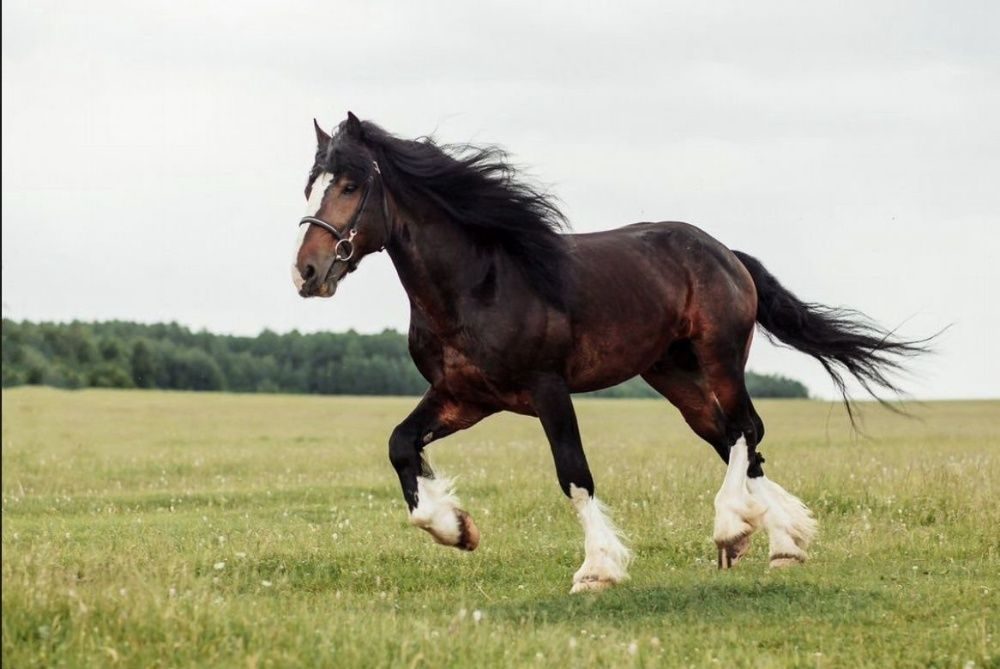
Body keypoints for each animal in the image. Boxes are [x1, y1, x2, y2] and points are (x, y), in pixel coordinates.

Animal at [292, 112, 924, 592]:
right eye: (311, 185)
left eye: (350, 185)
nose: (307, 272)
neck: (479, 283)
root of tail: (725, 252)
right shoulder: (464, 396)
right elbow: (402, 446)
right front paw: (456, 527)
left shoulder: (547, 388)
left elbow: (574, 474)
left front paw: (597, 570)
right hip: (673, 376)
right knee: (734, 439)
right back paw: (781, 540)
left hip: (720, 357)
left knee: (746, 429)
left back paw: (732, 528)